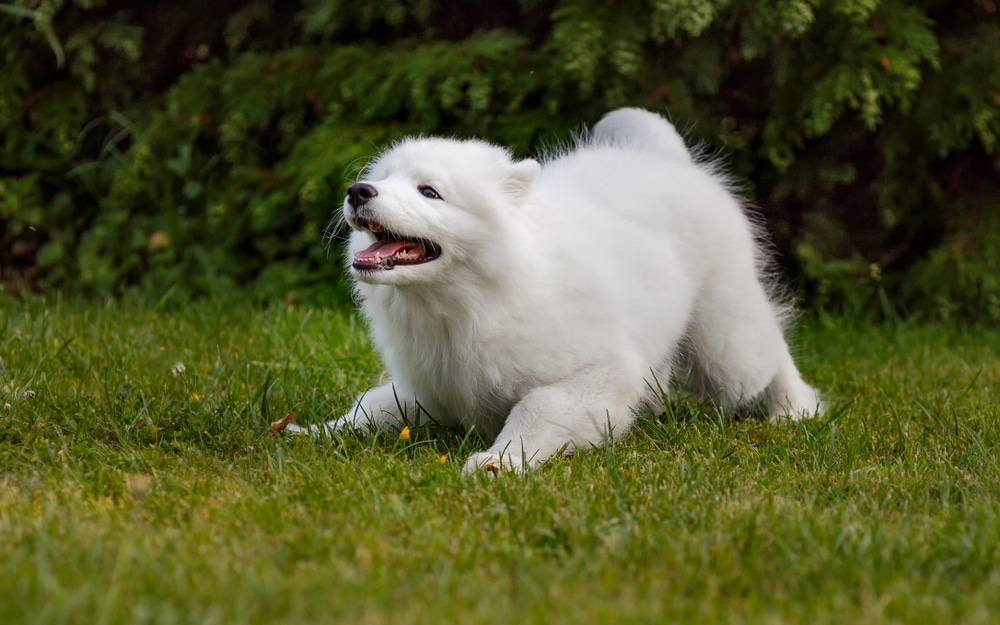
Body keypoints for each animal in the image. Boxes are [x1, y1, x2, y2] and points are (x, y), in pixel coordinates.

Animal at [286, 108, 824, 472]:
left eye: (430, 192)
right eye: (383, 178)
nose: (358, 191)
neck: (477, 296)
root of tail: (667, 158)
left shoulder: (597, 373)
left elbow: (536, 409)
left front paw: (499, 461)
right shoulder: (430, 386)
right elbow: (371, 406)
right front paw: (308, 432)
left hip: (724, 342)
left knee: (768, 352)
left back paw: (795, 409)